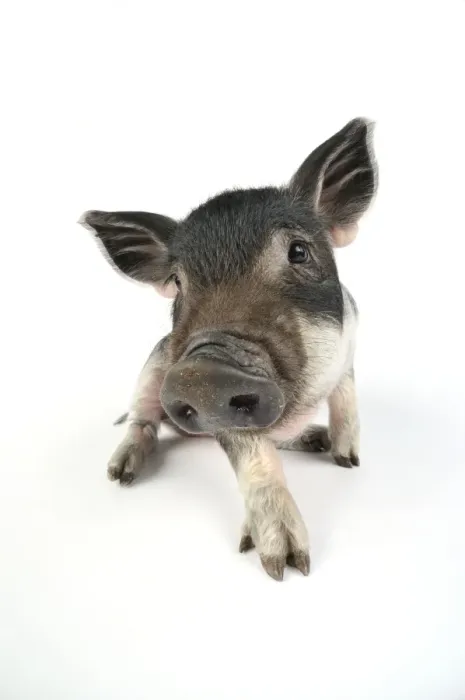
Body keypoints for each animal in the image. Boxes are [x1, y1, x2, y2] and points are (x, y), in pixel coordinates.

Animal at [79, 117, 377, 581]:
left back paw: (318, 440)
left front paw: (347, 460)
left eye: (298, 251)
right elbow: (255, 459)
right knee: (141, 421)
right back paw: (121, 473)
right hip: (153, 365)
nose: (202, 369)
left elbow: (346, 397)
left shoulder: (352, 341)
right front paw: (283, 564)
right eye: (178, 283)